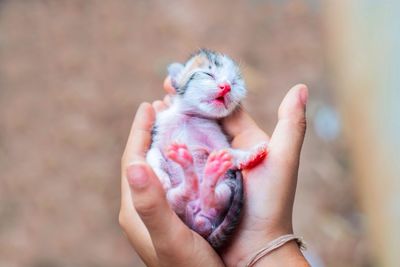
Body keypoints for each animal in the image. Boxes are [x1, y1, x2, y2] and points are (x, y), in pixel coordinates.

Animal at [145, 49, 268, 250]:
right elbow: (154, 154)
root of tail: (198, 222)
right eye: (208, 74)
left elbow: (228, 153)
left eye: (235, 82)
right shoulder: (158, 131)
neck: (190, 116)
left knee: (213, 197)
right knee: (178, 198)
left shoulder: (215, 136)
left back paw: (207, 176)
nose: (226, 86)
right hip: (172, 204)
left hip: (226, 189)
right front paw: (161, 177)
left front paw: (251, 154)